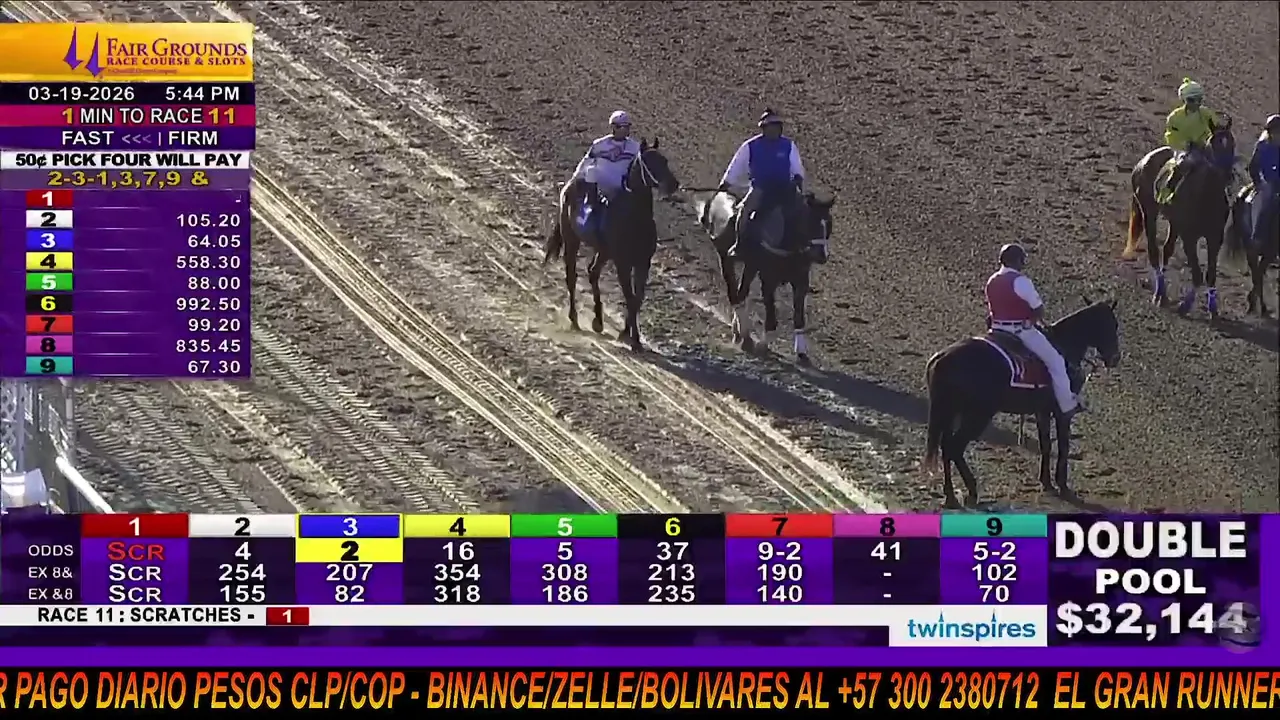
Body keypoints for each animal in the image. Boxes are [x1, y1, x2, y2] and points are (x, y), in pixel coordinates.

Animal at [543, 139, 680, 351]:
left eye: (664, 160)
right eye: (649, 161)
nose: (673, 184)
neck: (634, 219)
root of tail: (572, 184)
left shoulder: (642, 262)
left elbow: (637, 298)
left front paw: (626, 334)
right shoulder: (622, 263)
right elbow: (630, 297)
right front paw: (633, 339)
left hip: (604, 251)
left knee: (593, 272)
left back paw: (598, 321)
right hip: (572, 239)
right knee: (572, 276)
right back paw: (574, 319)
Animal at [696, 188, 833, 365]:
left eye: (828, 224)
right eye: (810, 223)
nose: (822, 256)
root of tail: (719, 193)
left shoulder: (801, 280)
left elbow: (799, 316)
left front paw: (801, 351)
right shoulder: (768, 279)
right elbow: (771, 313)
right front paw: (763, 344)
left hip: (750, 267)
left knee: (741, 293)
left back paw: (739, 331)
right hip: (726, 258)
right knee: (735, 294)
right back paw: (744, 335)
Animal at [922, 299, 1122, 509]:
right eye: (1111, 325)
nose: (1115, 358)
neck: (1064, 346)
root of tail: (942, 358)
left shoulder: (1042, 411)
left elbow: (1045, 444)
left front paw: (1046, 482)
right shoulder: (1061, 413)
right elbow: (1063, 446)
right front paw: (1063, 486)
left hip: (952, 412)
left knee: (946, 446)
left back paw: (951, 496)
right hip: (977, 414)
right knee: (954, 446)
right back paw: (971, 491)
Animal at [1124, 122, 1237, 317]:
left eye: (1231, 143)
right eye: (1213, 142)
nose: (1226, 173)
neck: (1206, 197)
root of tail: (1142, 162)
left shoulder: (1215, 238)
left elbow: (1210, 275)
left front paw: (1213, 308)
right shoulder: (1189, 238)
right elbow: (1197, 274)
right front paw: (1186, 305)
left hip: (1174, 224)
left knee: (1167, 250)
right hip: (1149, 213)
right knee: (1154, 252)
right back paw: (1159, 295)